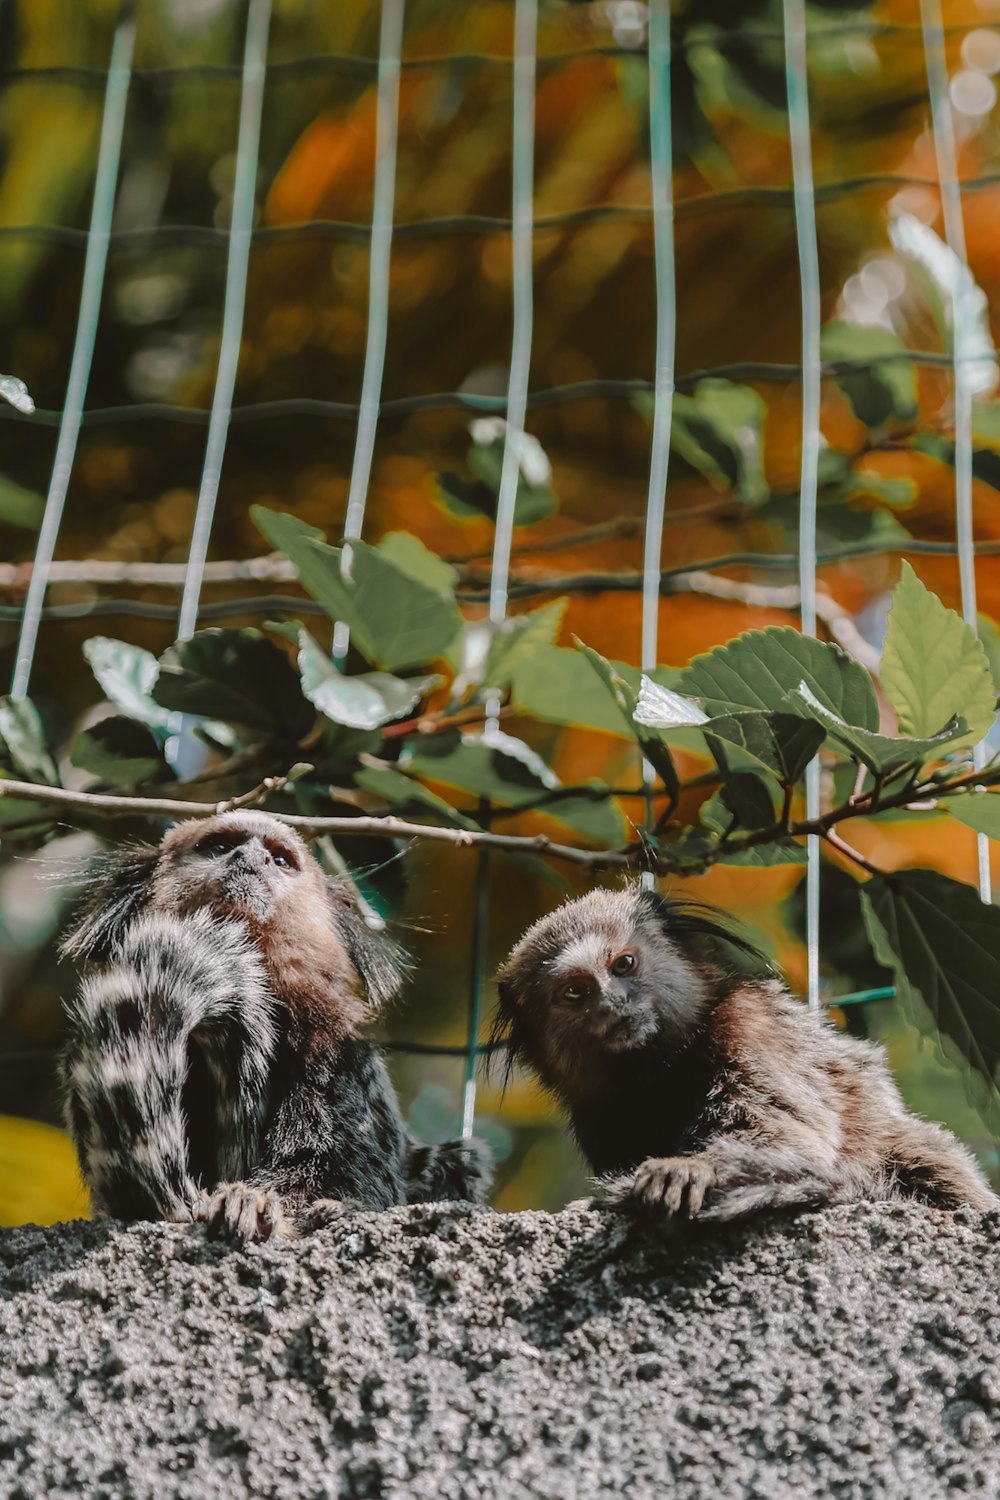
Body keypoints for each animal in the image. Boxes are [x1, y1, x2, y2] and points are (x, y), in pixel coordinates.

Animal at [60, 810, 491, 1242]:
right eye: (219, 846)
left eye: (281, 859)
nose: (252, 858)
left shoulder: (337, 1054)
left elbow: (350, 1173)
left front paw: (255, 1204)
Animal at [497, 876, 995, 1218]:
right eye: (576, 992)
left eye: (623, 964)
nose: (612, 1003)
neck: (661, 1068)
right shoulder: (593, 1111)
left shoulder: (752, 1027)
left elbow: (794, 1142)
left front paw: (689, 1170)